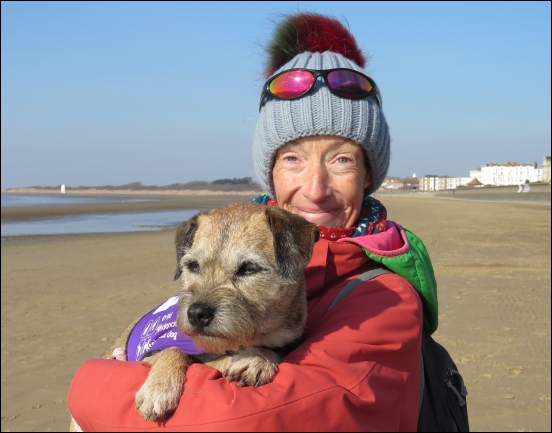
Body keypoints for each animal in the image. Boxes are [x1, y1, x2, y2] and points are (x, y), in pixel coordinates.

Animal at [129, 203, 316, 422]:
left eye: (249, 268)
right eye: (193, 265)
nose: (197, 314)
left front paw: (257, 359)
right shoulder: (149, 355)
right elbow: (173, 350)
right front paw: (158, 389)